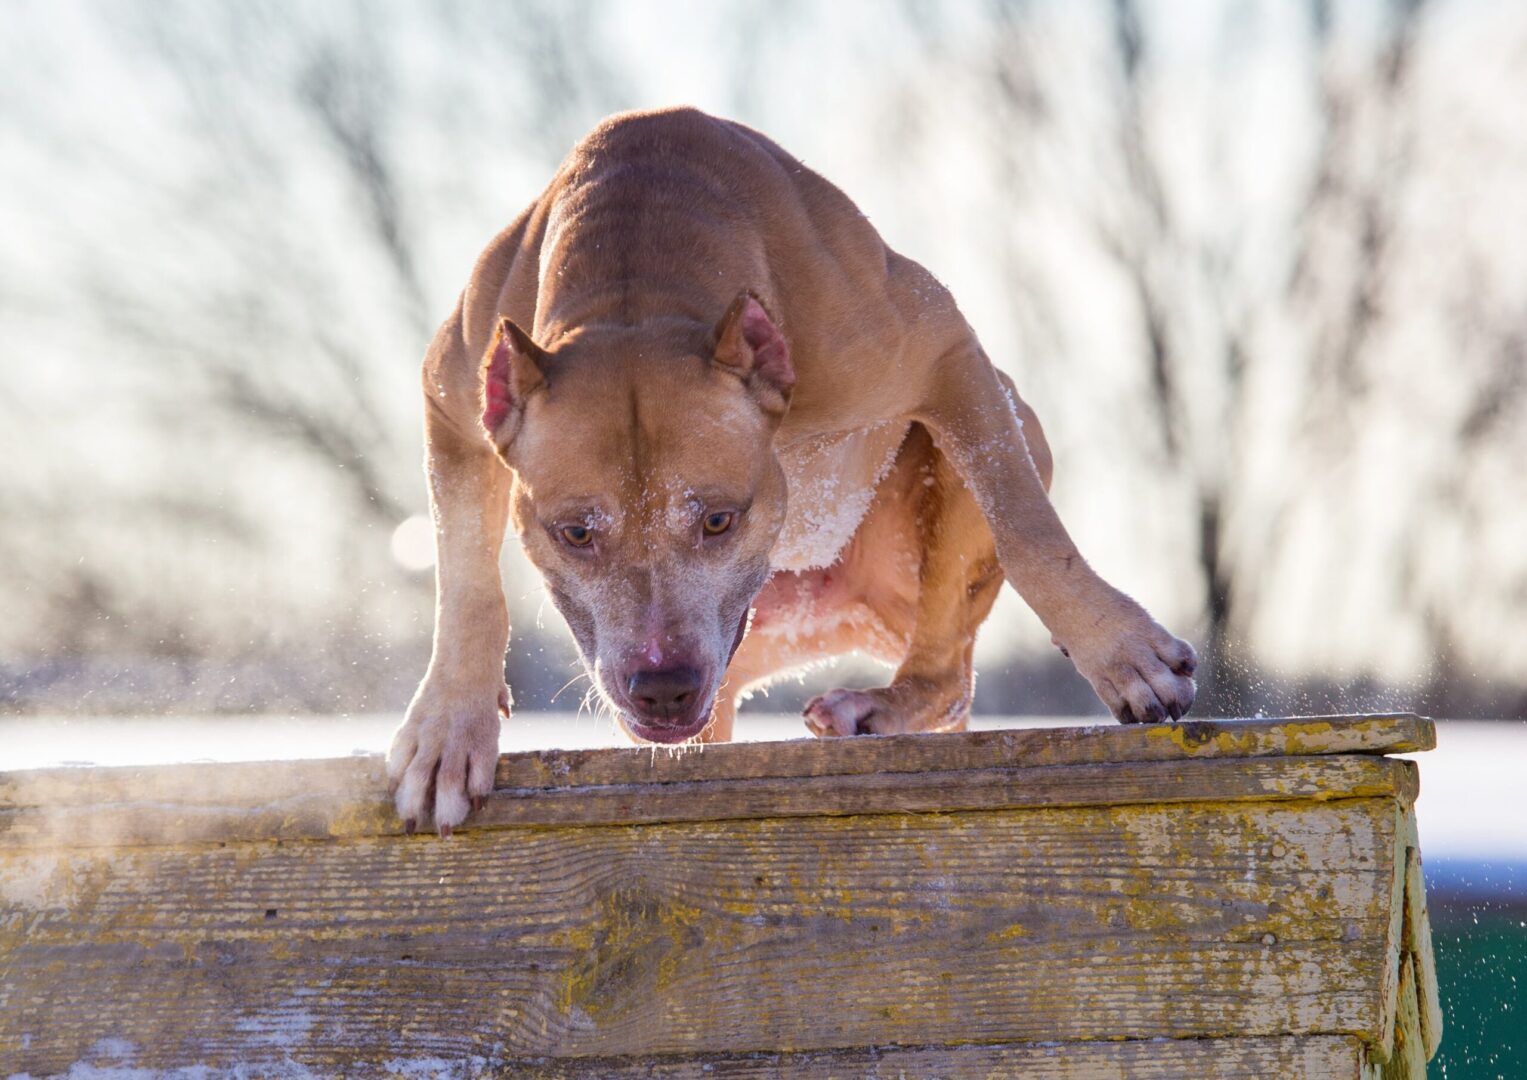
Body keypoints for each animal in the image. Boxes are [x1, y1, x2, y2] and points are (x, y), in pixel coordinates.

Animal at [384, 107, 1191, 837]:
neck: (635, 287)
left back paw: (877, 706)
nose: (663, 688)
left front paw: (1119, 652)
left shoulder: (946, 355)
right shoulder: (451, 405)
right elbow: (467, 584)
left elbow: (1026, 527)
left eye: (718, 519)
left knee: (949, 671)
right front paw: (448, 728)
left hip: (987, 445)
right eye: (575, 533)